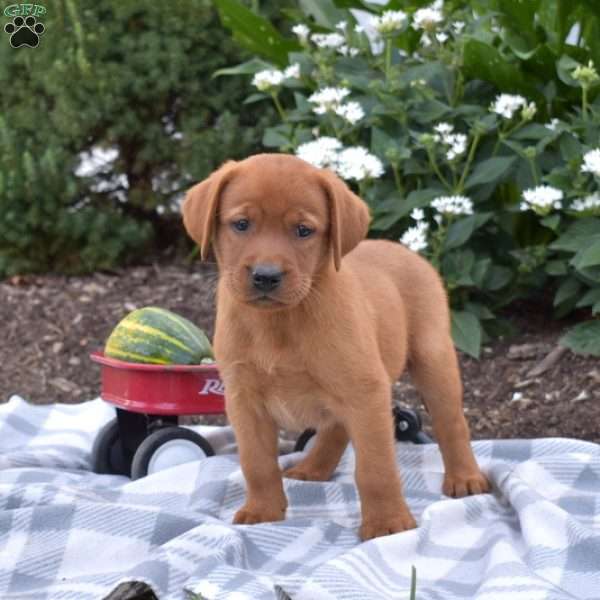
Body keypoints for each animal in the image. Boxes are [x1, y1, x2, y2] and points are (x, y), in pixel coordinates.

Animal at [184, 152, 492, 540]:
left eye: (303, 230)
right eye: (241, 224)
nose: (266, 276)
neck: (280, 324)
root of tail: (403, 249)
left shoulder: (366, 391)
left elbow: (375, 468)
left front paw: (388, 523)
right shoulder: (244, 399)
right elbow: (256, 463)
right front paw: (263, 511)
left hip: (432, 359)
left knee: (452, 423)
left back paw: (465, 477)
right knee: (337, 428)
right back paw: (313, 467)